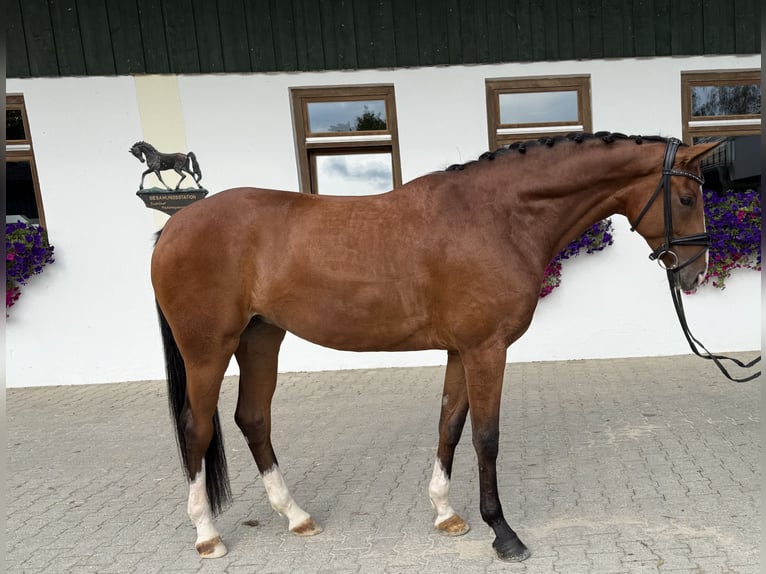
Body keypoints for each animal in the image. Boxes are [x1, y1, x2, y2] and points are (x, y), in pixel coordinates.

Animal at [151, 132, 716, 561]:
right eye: (687, 200)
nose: (695, 273)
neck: (497, 216)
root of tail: (173, 226)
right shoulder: (487, 349)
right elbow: (486, 437)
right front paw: (504, 533)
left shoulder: (460, 350)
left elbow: (450, 424)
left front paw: (446, 513)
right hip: (208, 349)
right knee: (196, 428)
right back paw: (207, 535)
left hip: (261, 337)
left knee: (253, 419)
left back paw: (296, 517)